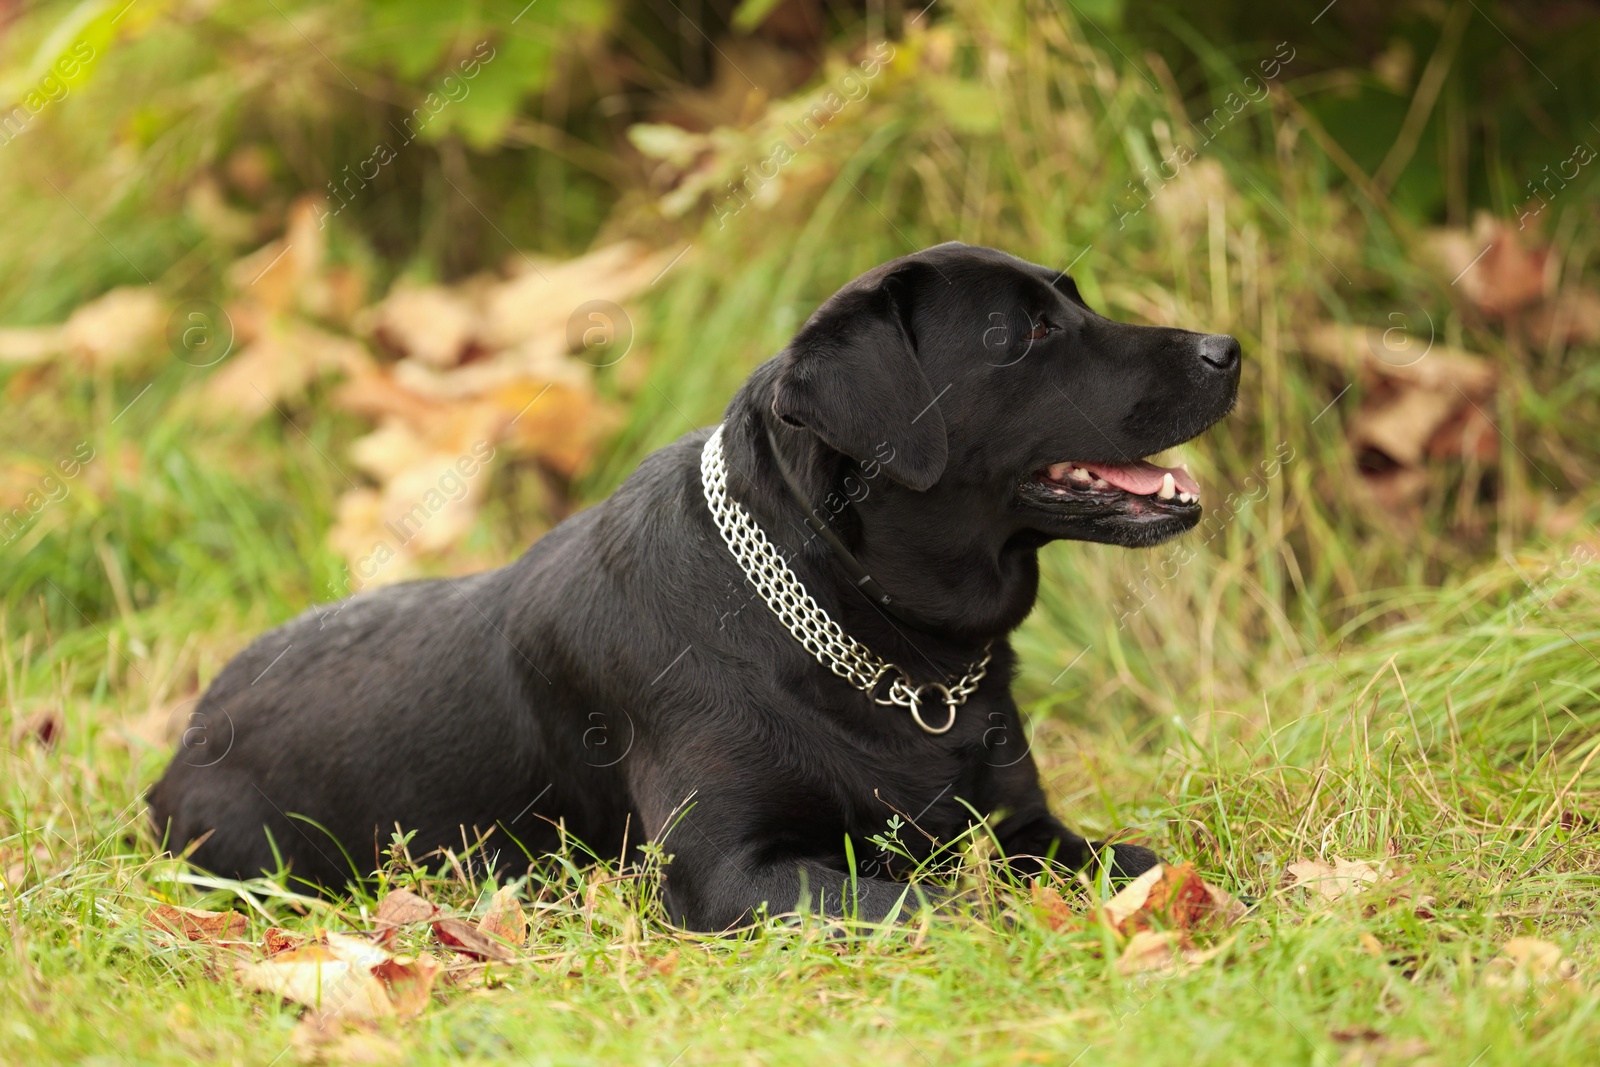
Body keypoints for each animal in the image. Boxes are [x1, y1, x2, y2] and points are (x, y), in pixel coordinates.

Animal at [147, 246, 1235, 927]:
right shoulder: (730, 872)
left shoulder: (1027, 828)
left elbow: (1132, 861)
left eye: (1075, 298)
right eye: (1026, 335)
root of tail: (185, 736)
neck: (876, 640)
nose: (1227, 348)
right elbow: (937, 900)